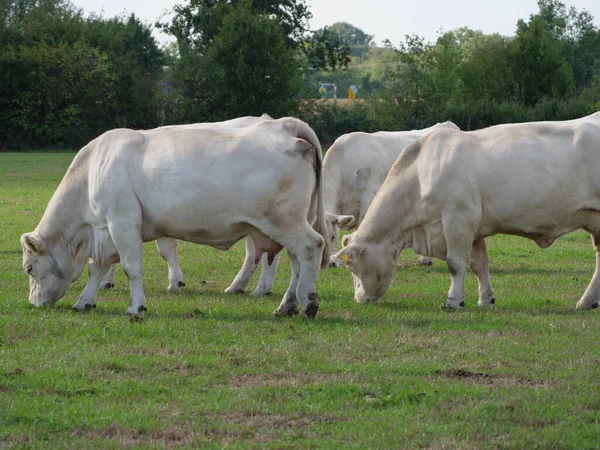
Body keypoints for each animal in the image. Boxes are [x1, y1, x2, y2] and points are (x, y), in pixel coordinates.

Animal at [21, 118, 330, 318]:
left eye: (29, 269)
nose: (33, 303)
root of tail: (286, 125)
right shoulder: (105, 233)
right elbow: (97, 268)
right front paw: (84, 301)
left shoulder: (122, 223)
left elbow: (131, 267)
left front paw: (136, 307)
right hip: (284, 224)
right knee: (295, 261)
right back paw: (286, 305)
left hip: (283, 221)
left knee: (311, 247)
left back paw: (307, 302)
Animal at [336, 111, 600, 310]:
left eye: (352, 267)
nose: (359, 300)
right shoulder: (474, 228)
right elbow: (479, 264)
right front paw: (486, 299)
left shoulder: (458, 219)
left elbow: (456, 264)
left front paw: (453, 300)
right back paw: (588, 301)